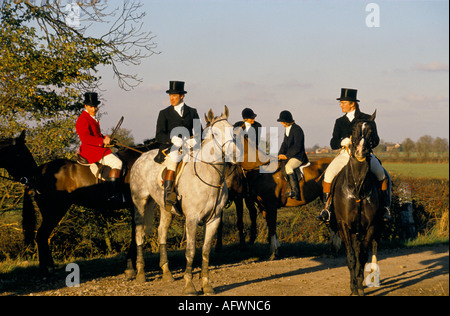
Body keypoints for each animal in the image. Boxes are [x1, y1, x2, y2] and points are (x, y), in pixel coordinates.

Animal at [0, 130, 158, 276]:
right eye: (21, 154)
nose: (28, 175)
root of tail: (40, 172)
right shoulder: (136, 205)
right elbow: (136, 233)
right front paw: (131, 265)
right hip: (55, 210)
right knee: (41, 235)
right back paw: (46, 271)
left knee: (43, 236)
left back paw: (48, 268)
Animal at [129, 105, 239, 294]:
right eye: (216, 134)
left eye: (233, 130)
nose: (235, 155)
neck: (208, 176)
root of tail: (141, 157)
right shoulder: (192, 219)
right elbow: (190, 251)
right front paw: (189, 286)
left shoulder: (214, 219)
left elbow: (205, 251)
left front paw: (206, 285)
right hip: (140, 204)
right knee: (139, 234)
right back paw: (141, 273)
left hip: (165, 208)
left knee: (161, 232)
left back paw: (166, 273)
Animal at [332, 112, 384, 296]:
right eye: (353, 130)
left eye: (372, 131)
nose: (361, 151)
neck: (358, 188)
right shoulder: (344, 226)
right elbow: (351, 257)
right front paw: (354, 287)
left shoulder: (371, 226)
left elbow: (362, 256)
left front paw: (360, 286)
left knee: (372, 248)